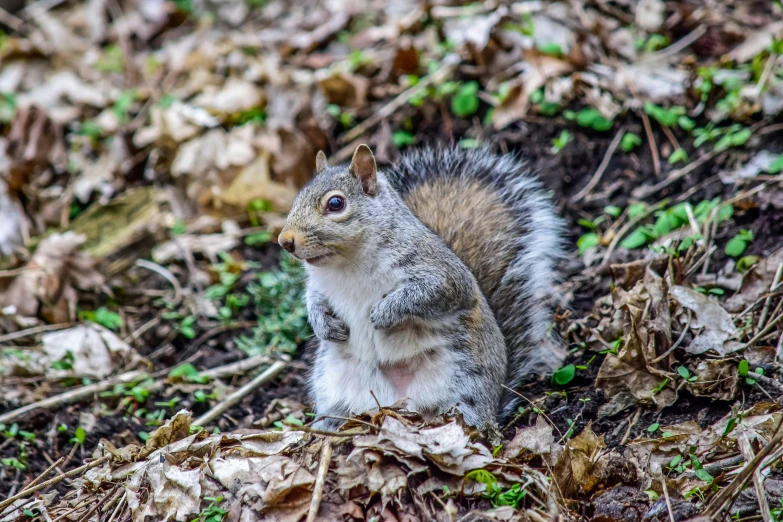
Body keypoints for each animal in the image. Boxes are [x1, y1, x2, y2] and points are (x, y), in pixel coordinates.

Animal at [278, 143, 568, 426]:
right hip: (335, 394)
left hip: (465, 388)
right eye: (296, 199)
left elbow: (426, 294)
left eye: (336, 203)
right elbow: (313, 300)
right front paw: (323, 325)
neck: (345, 265)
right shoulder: (319, 286)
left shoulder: (441, 273)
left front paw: (384, 313)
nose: (285, 241)